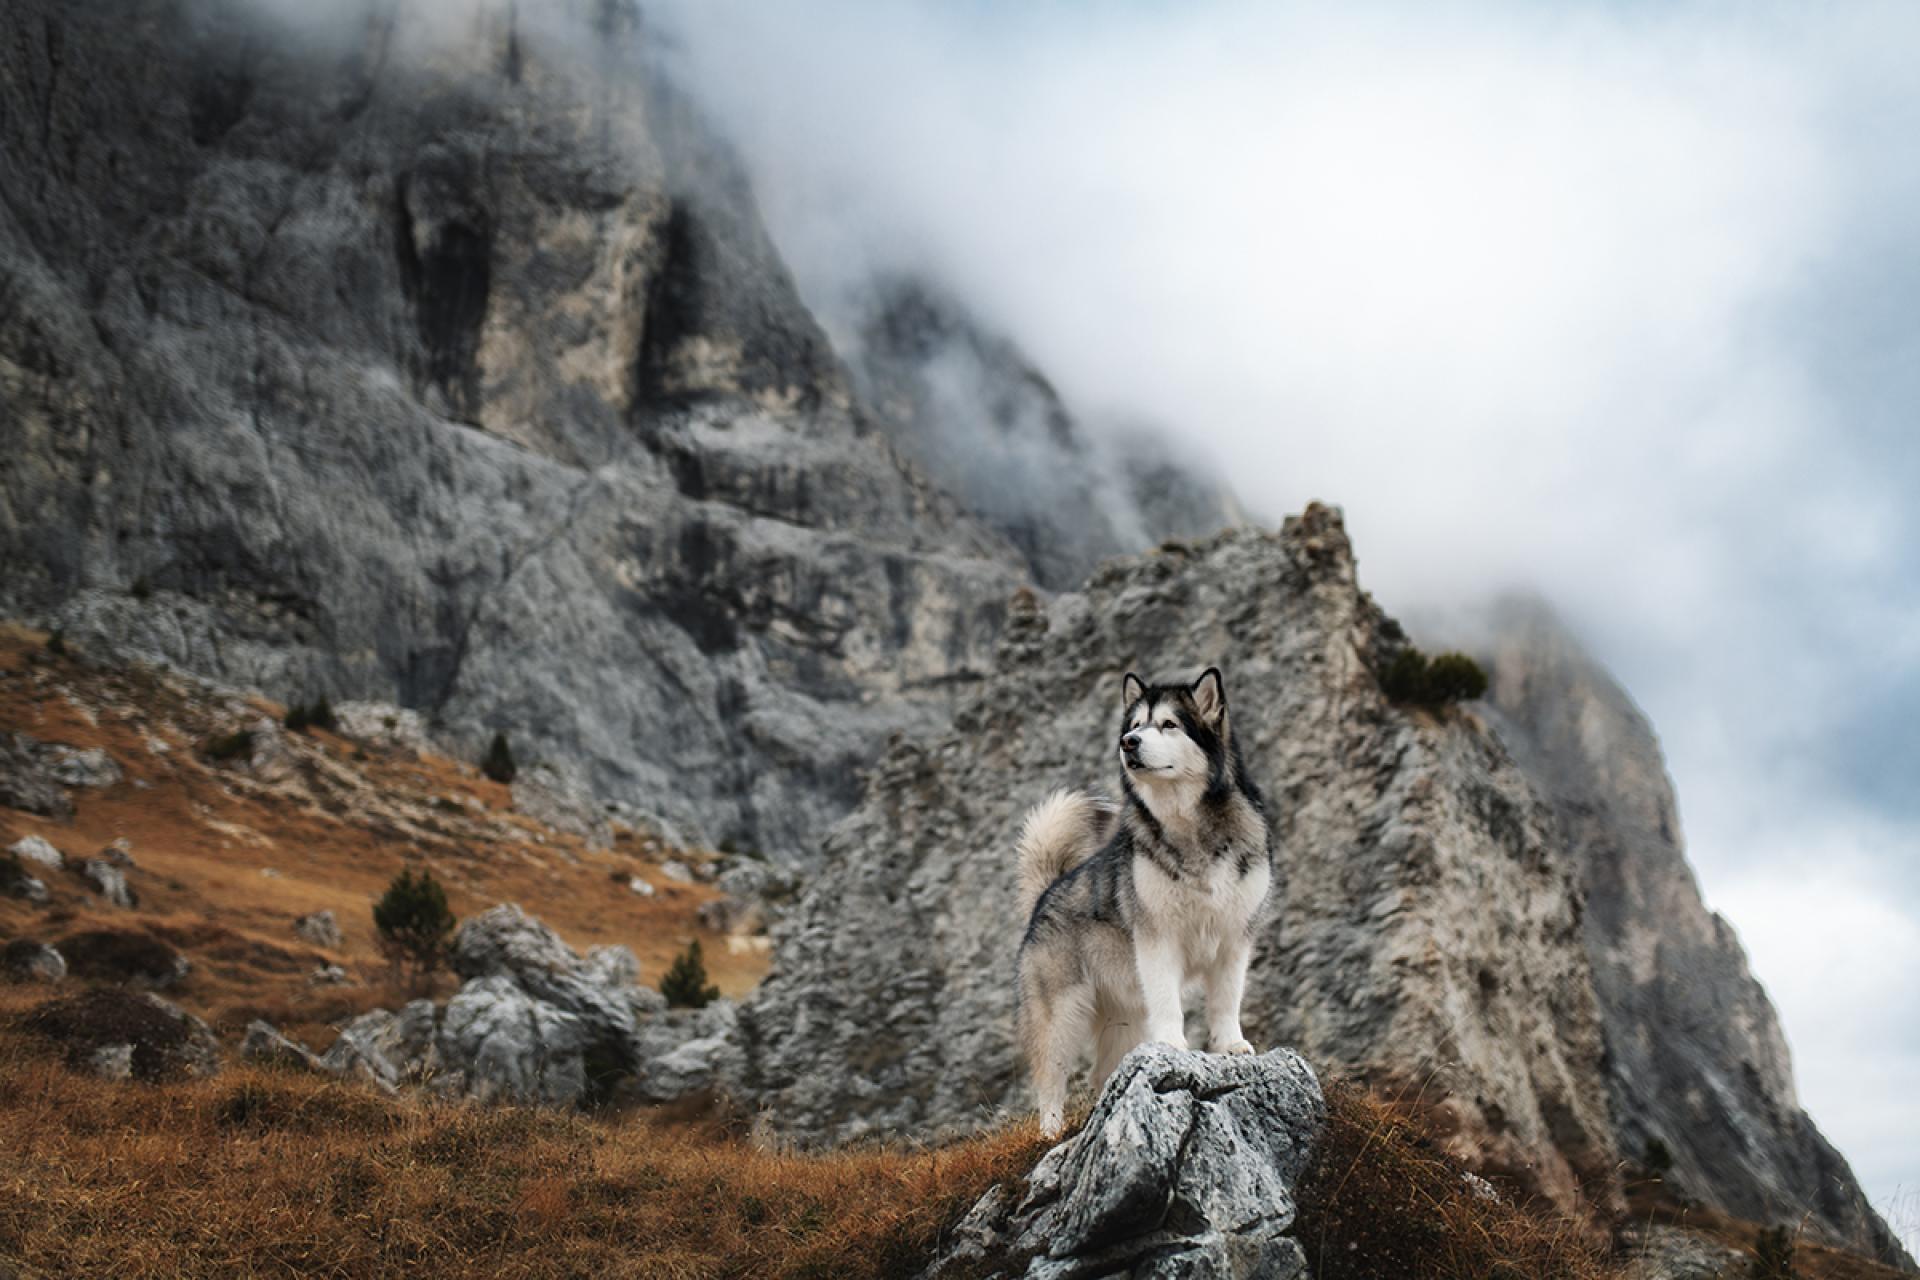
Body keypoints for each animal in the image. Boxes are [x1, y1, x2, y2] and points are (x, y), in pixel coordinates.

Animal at [1013, 667, 1267, 1136]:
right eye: (1134, 725)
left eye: (1168, 724)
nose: (1128, 743)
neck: (1190, 828)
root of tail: (1046, 893)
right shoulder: (1157, 938)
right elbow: (1168, 1001)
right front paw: (1173, 1046)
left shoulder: (1235, 938)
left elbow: (1226, 1000)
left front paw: (1230, 1045)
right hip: (1060, 1014)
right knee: (1049, 1077)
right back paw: (1051, 1131)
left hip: (1124, 1013)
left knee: (1100, 1072)